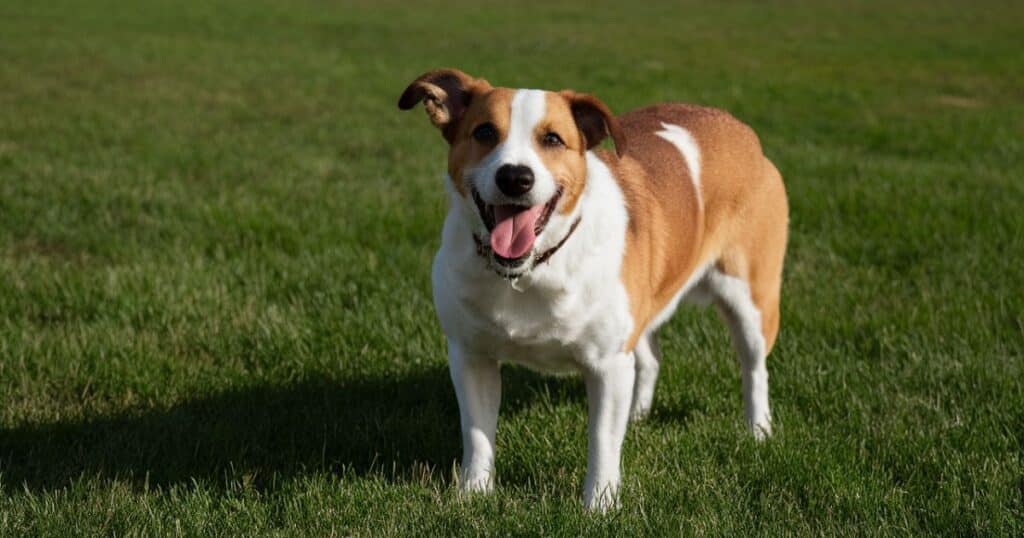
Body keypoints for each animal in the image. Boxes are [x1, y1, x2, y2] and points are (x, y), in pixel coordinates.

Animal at [395, 69, 786, 510]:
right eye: (483, 132)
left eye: (552, 139)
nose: (515, 177)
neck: (533, 268)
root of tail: (739, 128)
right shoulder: (470, 355)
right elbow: (477, 433)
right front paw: (474, 493)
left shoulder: (608, 364)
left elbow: (602, 439)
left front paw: (599, 506)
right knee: (650, 357)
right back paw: (639, 414)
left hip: (752, 299)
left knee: (754, 367)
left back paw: (758, 431)